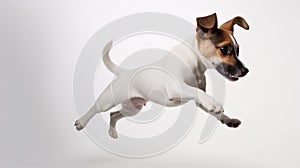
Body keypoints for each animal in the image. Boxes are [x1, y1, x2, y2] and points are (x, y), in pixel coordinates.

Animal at [74, 13, 248, 139]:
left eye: (238, 50)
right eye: (224, 49)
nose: (245, 71)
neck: (194, 61)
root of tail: (124, 71)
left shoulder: (199, 101)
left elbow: (207, 104)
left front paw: (227, 119)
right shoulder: (176, 87)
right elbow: (198, 92)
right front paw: (215, 103)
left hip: (132, 108)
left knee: (114, 114)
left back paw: (112, 132)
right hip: (108, 100)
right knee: (95, 109)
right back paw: (81, 122)